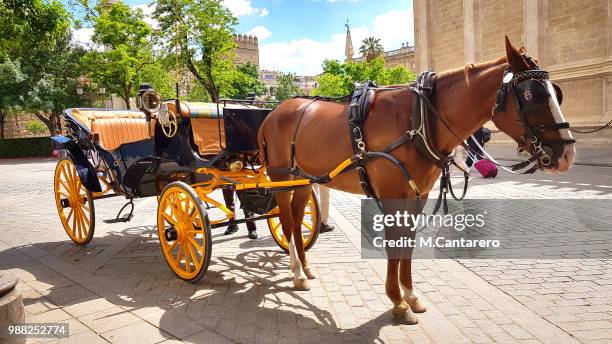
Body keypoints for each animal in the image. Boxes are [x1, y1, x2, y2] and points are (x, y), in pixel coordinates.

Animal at [256, 38, 572, 326]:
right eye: (531, 94)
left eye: (556, 93)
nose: (567, 153)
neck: (418, 120)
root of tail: (275, 112)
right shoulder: (393, 195)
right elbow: (394, 243)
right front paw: (397, 302)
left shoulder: (417, 195)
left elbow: (406, 243)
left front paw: (409, 295)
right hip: (282, 177)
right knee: (287, 222)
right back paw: (297, 273)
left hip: (303, 180)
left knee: (298, 220)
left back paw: (305, 268)